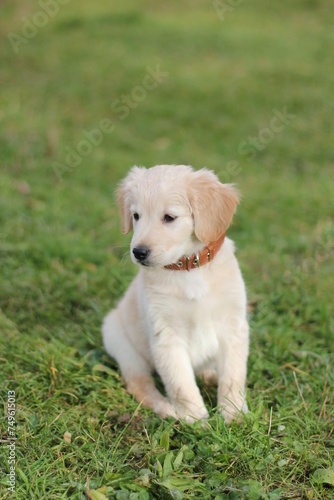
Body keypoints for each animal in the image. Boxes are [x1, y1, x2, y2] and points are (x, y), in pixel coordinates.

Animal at [103, 164, 249, 422]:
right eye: (136, 216)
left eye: (169, 218)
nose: (138, 252)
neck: (188, 267)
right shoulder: (166, 335)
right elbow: (181, 383)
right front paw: (195, 419)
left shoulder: (233, 326)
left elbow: (232, 377)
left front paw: (233, 414)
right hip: (118, 339)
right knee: (140, 383)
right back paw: (167, 410)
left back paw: (210, 377)